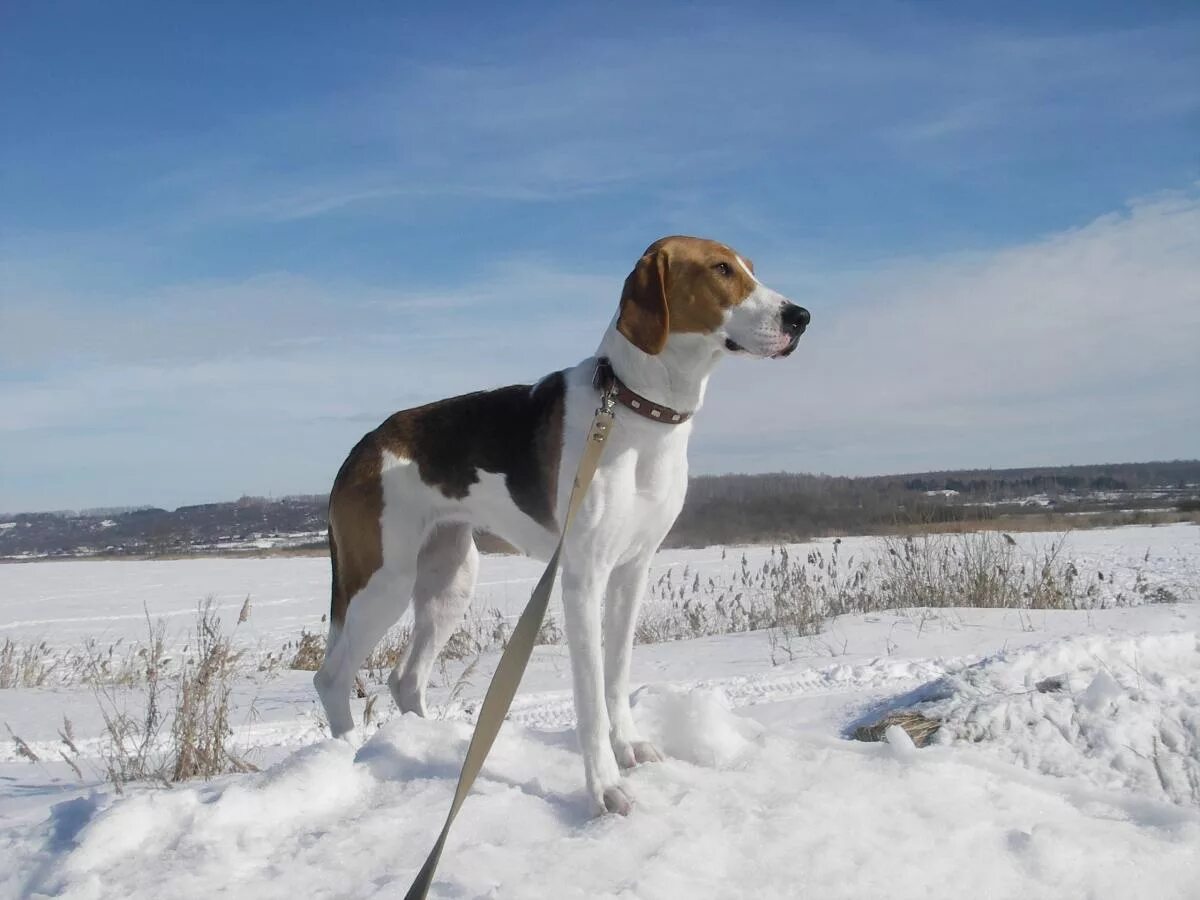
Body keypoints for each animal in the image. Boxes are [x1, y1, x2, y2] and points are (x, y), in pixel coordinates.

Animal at [314, 236, 811, 816]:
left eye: (750, 268)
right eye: (721, 269)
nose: (801, 317)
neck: (638, 410)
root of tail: (364, 447)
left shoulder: (632, 571)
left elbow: (617, 675)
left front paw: (630, 746)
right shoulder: (582, 578)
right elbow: (590, 695)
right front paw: (606, 788)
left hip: (450, 581)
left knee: (405, 679)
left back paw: (431, 746)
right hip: (383, 583)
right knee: (332, 678)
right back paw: (348, 757)